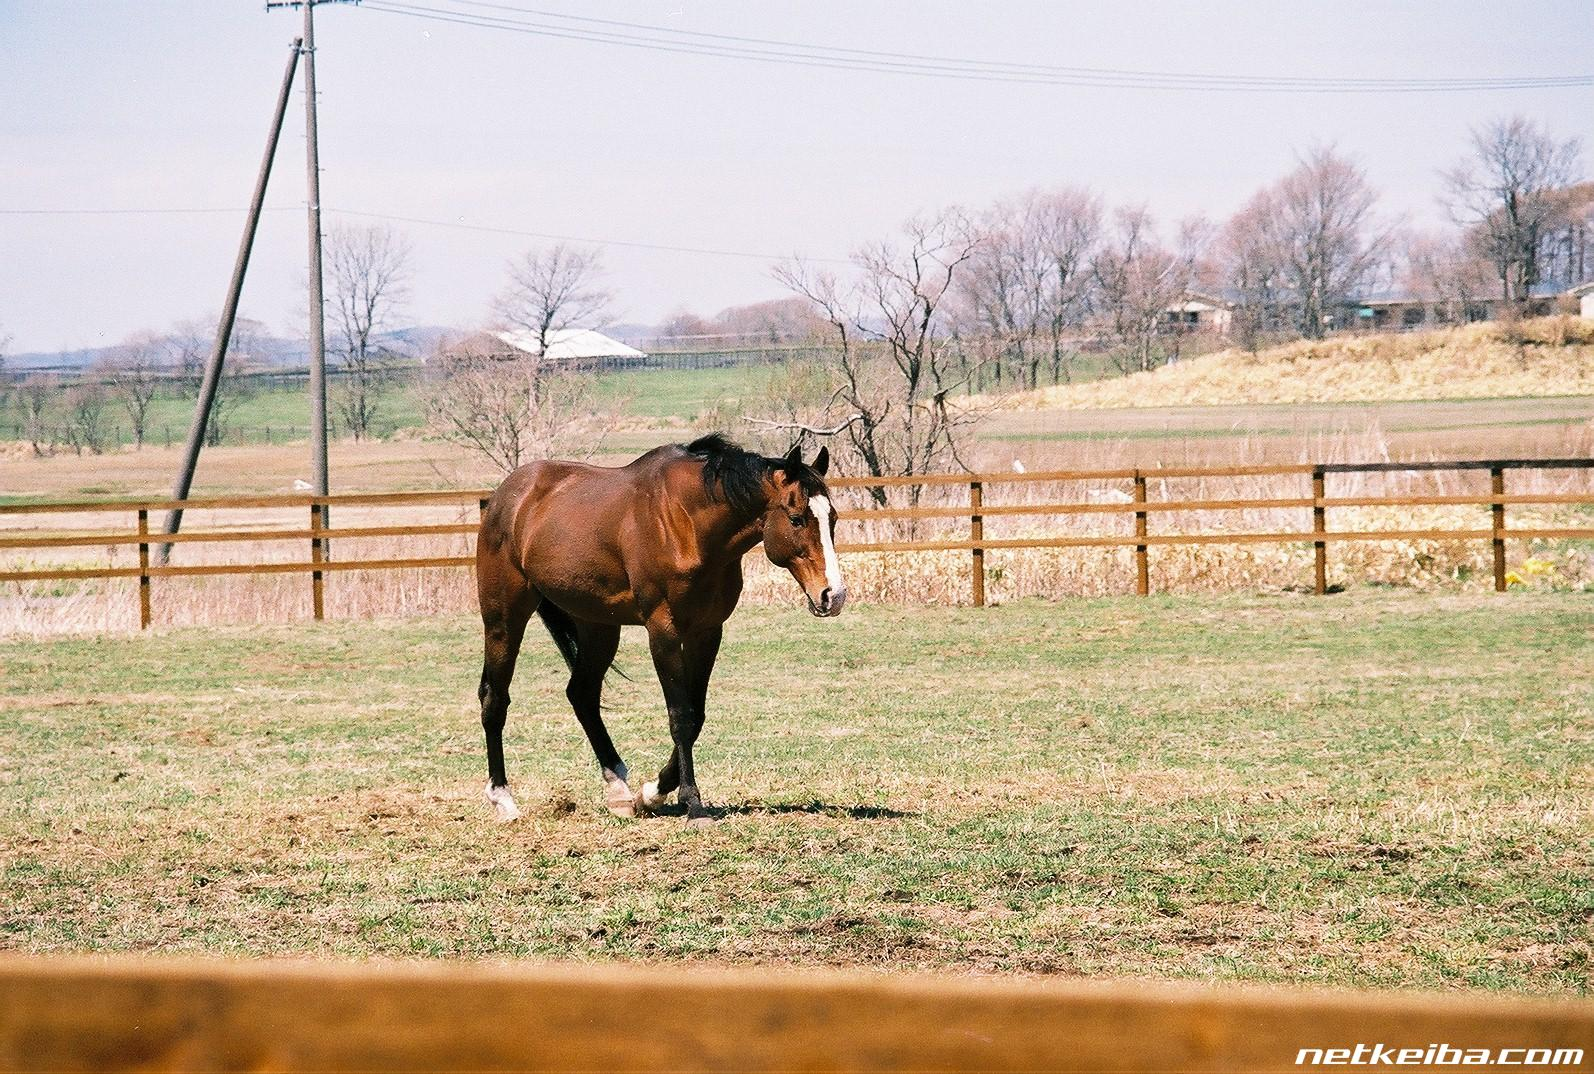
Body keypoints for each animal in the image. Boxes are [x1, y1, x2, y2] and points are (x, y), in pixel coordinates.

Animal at [473, 434, 847, 823]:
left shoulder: (706, 632)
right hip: (503, 619)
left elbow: (696, 714)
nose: (833, 595)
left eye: (832, 518)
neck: (687, 525)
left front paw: (651, 792)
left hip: (598, 626)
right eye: (797, 518)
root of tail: (503, 497)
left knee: (582, 695)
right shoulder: (663, 631)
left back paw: (619, 790)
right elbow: (680, 715)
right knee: (494, 698)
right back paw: (503, 799)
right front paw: (692, 803)